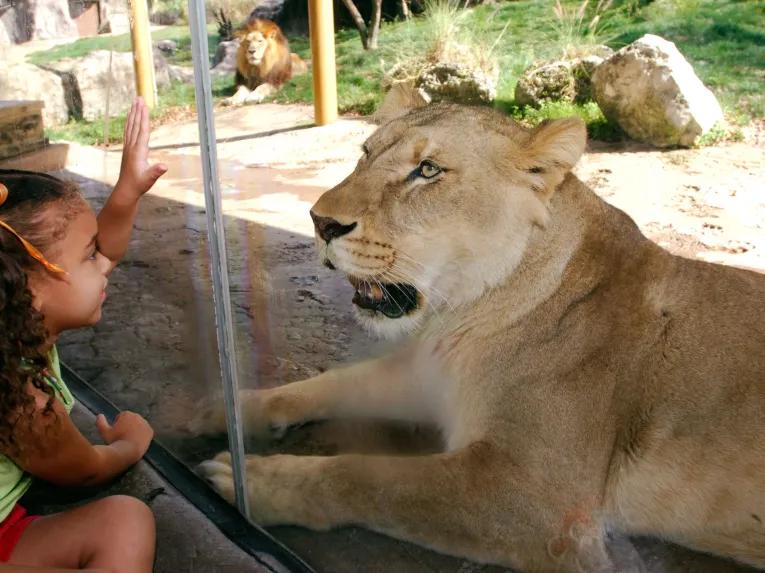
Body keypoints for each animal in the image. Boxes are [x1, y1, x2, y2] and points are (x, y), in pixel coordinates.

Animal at [197, 104, 765, 572]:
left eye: (427, 171)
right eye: (365, 154)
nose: (319, 222)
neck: (460, 315)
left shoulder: (544, 505)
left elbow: (372, 478)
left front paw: (254, 482)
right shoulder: (431, 380)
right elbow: (332, 382)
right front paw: (229, 407)